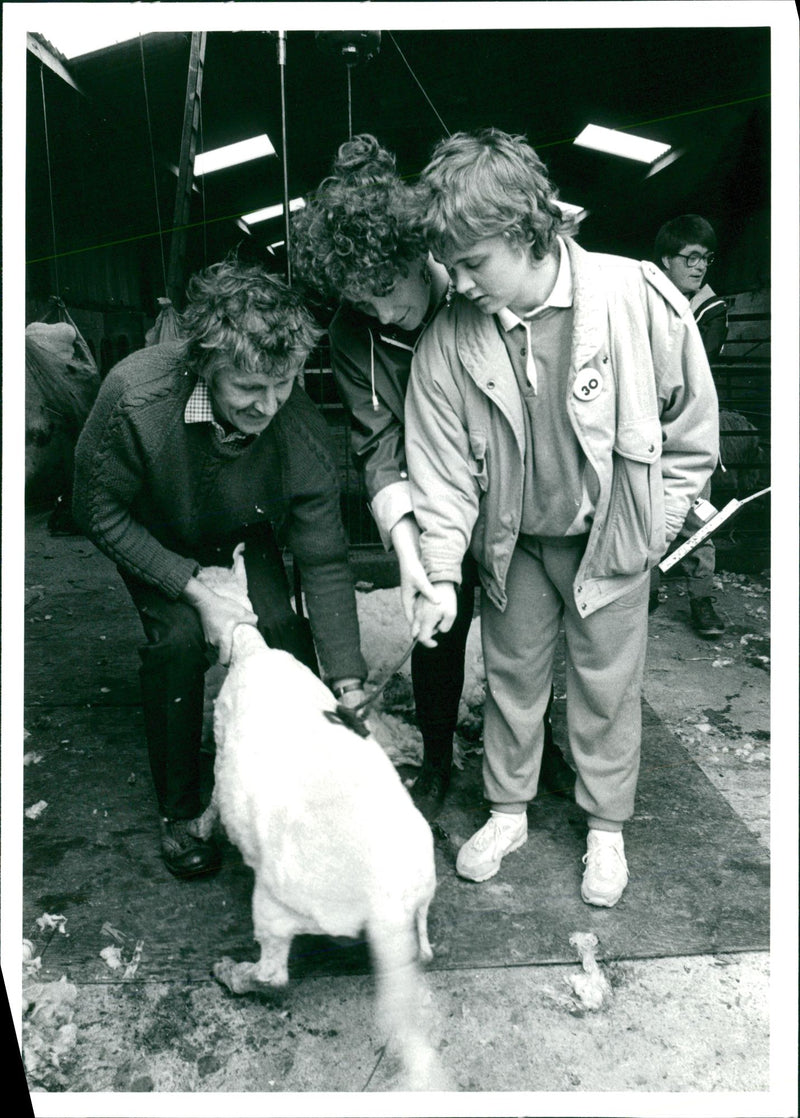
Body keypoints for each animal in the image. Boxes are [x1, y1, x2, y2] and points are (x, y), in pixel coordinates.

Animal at [194, 545, 444, 1086]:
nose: (196, 565)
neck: (249, 647)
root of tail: (384, 903)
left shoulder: (223, 745)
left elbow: (214, 797)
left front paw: (200, 827)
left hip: (279, 903)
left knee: (273, 974)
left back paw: (230, 972)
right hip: (420, 889)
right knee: (424, 944)